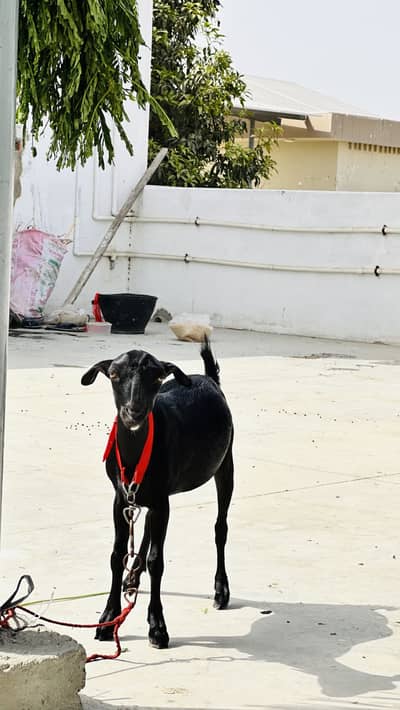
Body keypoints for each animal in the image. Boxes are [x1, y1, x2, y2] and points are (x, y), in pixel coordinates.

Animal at [81, 338, 234, 649]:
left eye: (157, 377)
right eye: (113, 374)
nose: (134, 412)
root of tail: (209, 378)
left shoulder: (161, 500)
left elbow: (157, 561)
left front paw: (157, 627)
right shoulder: (121, 498)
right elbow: (117, 554)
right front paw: (108, 619)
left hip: (225, 464)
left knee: (220, 527)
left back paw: (220, 590)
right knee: (147, 530)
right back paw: (132, 579)